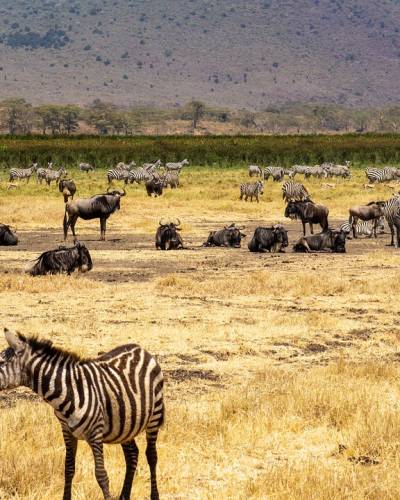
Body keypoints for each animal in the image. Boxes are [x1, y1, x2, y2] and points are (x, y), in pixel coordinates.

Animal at [0, 328, 165, 500]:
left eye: (1, 363)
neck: (67, 392)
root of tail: (140, 348)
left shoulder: (95, 433)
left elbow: (101, 475)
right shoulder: (67, 432)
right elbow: (68, 469)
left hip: (155, 415)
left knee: (151, 455)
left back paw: (154, 495)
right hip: (125, 423)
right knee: (132, 454)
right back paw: (124, 496)